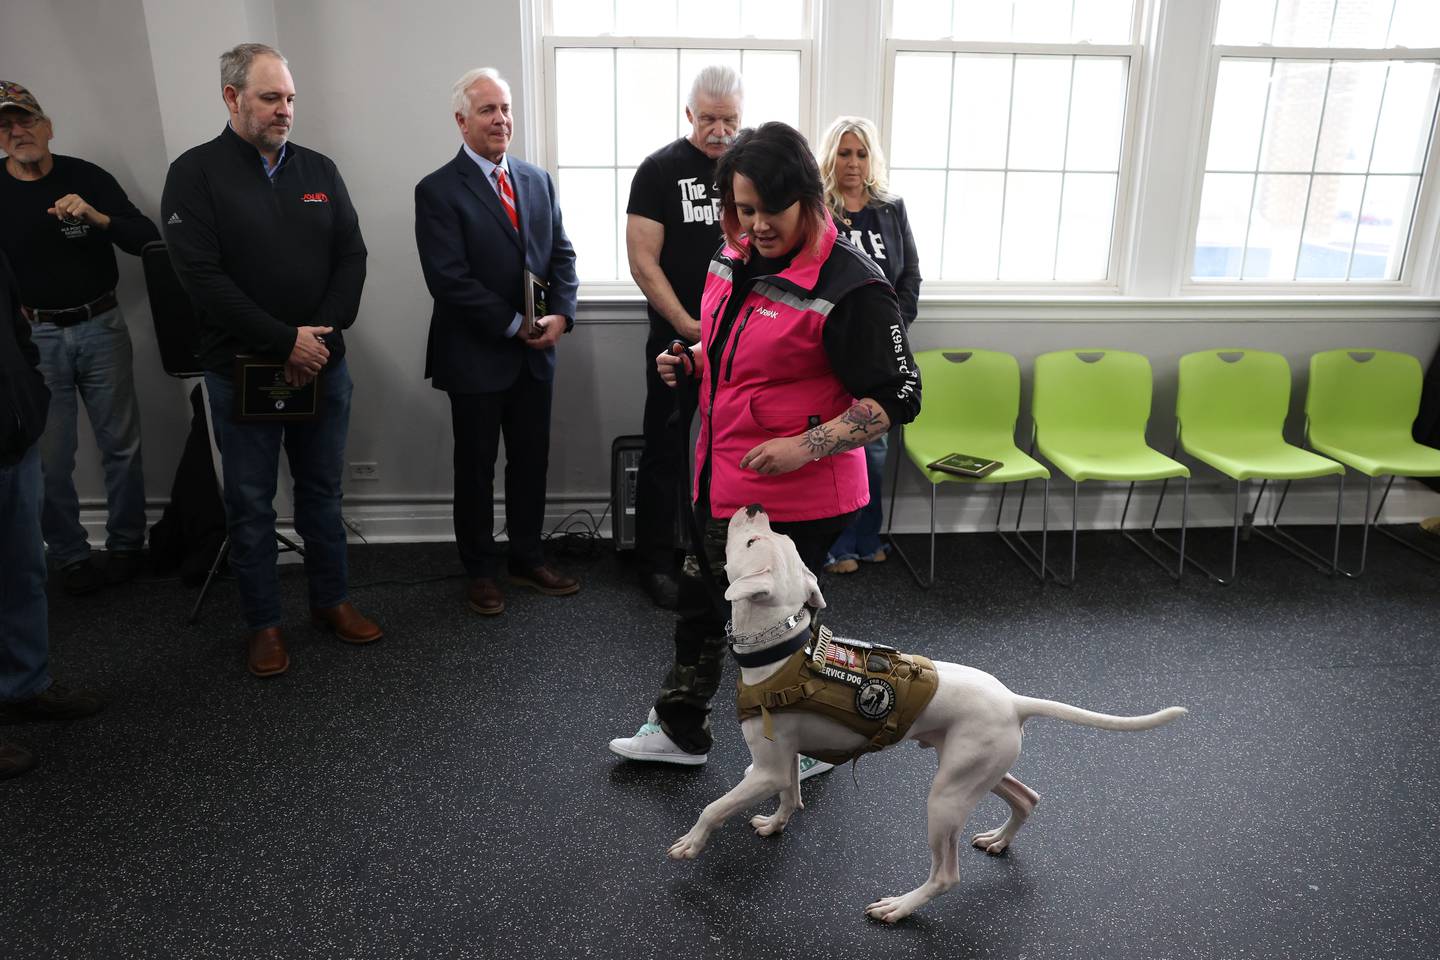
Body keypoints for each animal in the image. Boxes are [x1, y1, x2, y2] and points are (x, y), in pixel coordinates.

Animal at [668, 503, 1186, 921]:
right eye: (769, 538)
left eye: (752, 541)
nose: (755, 506)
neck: (780, 653)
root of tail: (1014, 701)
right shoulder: (785, 759)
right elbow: (791, 796)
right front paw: (775, 824)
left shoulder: (766, 770)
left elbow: (714, 807)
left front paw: (691, 843)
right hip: (976, 771)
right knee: (1026, 797)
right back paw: (998, 840)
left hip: (946, 798)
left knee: (946, 876)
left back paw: (900, 907)